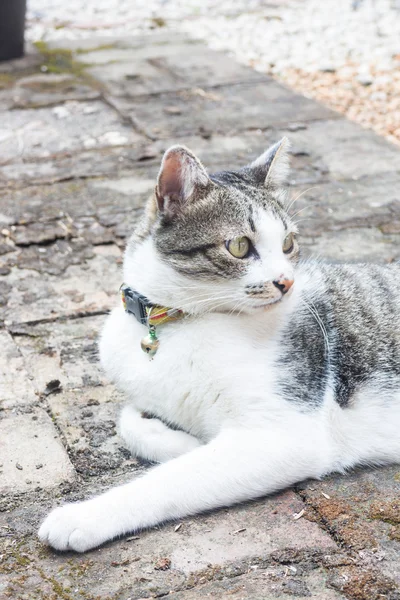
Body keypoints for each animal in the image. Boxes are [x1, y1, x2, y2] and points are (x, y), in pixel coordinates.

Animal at [38, 138, 400, 552]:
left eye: (287, 243)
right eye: (239, 246)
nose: (287, 282)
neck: (176, 322)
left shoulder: (289, 433)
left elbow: (176, 478)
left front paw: (83, 516)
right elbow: (129, 422)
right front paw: (187, 442)